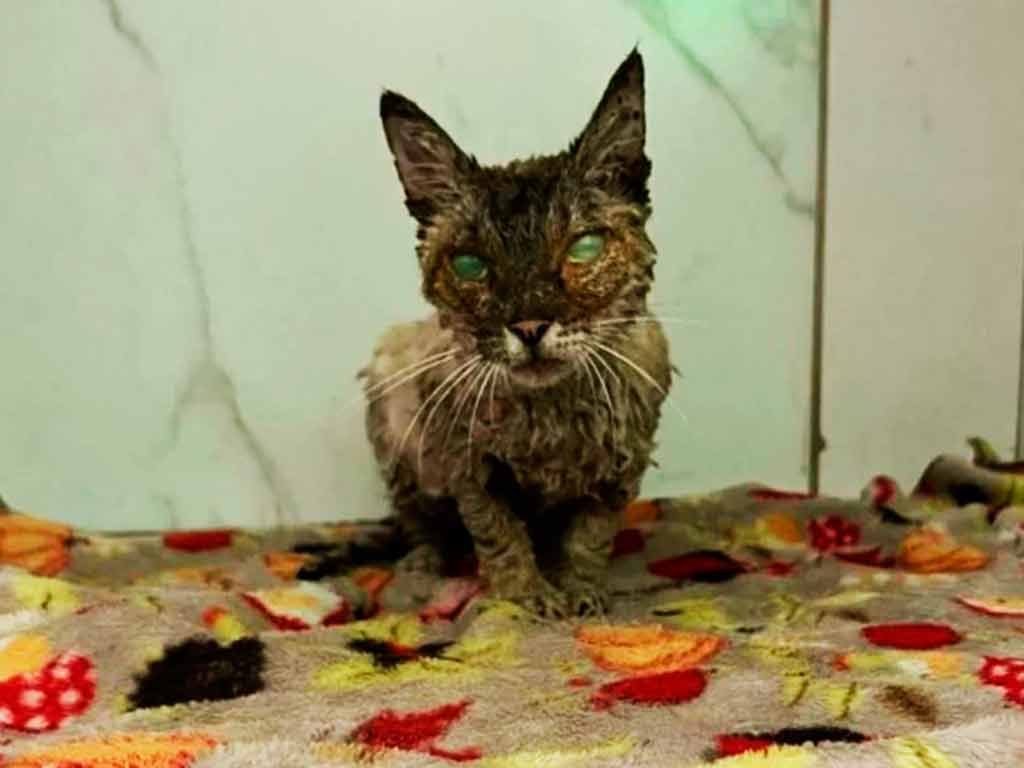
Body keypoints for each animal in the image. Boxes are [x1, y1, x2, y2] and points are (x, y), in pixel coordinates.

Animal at [362, 49, 670, 617]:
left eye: (584, 249)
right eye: (470, 265)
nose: (529, 326)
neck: (549, 424)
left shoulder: (621, 468)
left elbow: (590, 536)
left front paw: (581, 593)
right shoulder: (468, 468)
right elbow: (498, 533)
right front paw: (526, 599)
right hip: (389, 386)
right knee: (423, 526)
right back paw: (417, 577)